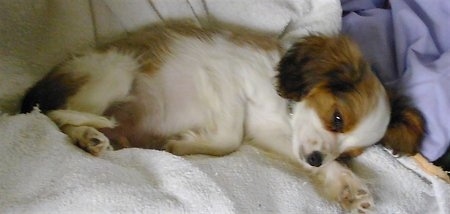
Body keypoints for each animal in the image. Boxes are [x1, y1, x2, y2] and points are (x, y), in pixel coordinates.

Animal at [21, 20, 426, 213]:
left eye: (351, 153)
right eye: (337, 119)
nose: (315, 158)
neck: (285, 109)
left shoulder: (279, 136)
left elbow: (323, 165)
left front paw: (348, 187)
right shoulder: (227, 79)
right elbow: (229, 137)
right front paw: (183, 145)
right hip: (117, 71)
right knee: (54, 115)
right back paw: (91, 134)